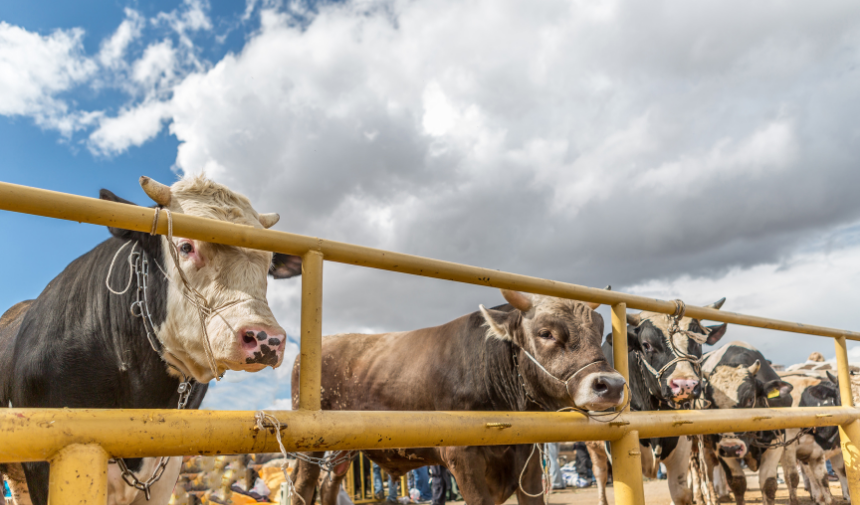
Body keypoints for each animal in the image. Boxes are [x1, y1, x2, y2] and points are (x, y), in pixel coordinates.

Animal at [288, 288, 624, 504]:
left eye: (599, 331)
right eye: (546, 333)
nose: (611, 385)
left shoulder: (527, 459)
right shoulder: (462, 456)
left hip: (343, 448)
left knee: (329, 485)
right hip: (308, 445)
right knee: (302, 486)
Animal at [584, 300, 724, 504]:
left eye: (697, 341)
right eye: (646, 344)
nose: (685, 384)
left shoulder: (681, 445)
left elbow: (681, 493)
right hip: (594, 447)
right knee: (600, 475)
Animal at [700, 340, 792, 504]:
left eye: (750, 399)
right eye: (710, 403)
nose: (731, 448)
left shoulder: (777, 440)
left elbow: (768, 483)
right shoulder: (719, 447)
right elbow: (738, 482)